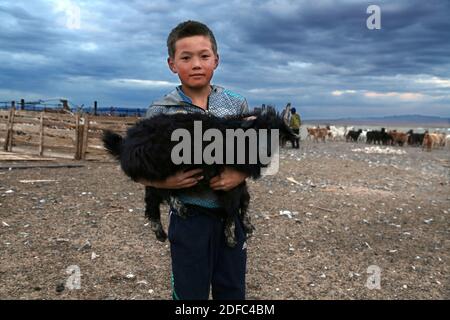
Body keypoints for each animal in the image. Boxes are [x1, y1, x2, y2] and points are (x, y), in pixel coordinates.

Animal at [103, 112, 298, 248]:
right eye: (257, 131)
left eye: (276, 135)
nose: (263, 152)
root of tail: (126, 143)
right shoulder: (227, 180)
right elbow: (232, 208)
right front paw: (231, 238)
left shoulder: (237, 180)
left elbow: (245, 200)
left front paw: (248, 226)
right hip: (162, 165)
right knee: (160, 192)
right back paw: (179, 209)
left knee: (151, 199)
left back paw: (160, 232)